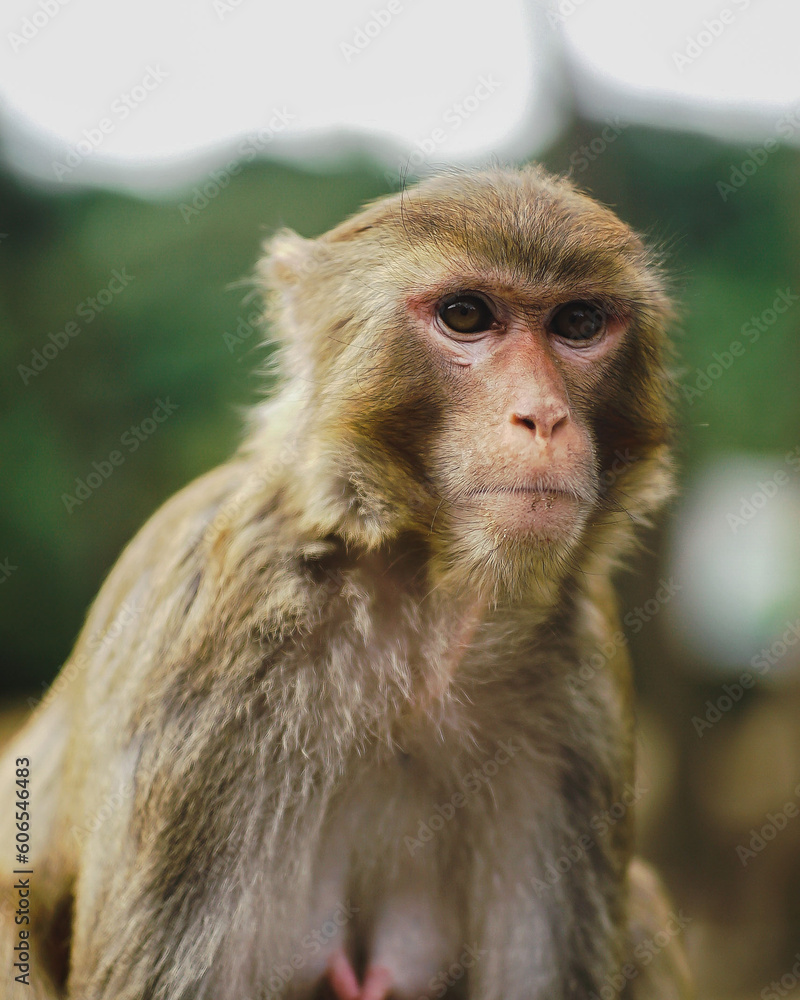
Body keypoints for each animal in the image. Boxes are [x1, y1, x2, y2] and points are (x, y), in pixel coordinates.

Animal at [1, 164, 693, 999]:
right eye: (466, 315)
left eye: (580, 323)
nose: (544, 418)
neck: (421, 610)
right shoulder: (214, 641)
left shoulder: (582, 684)